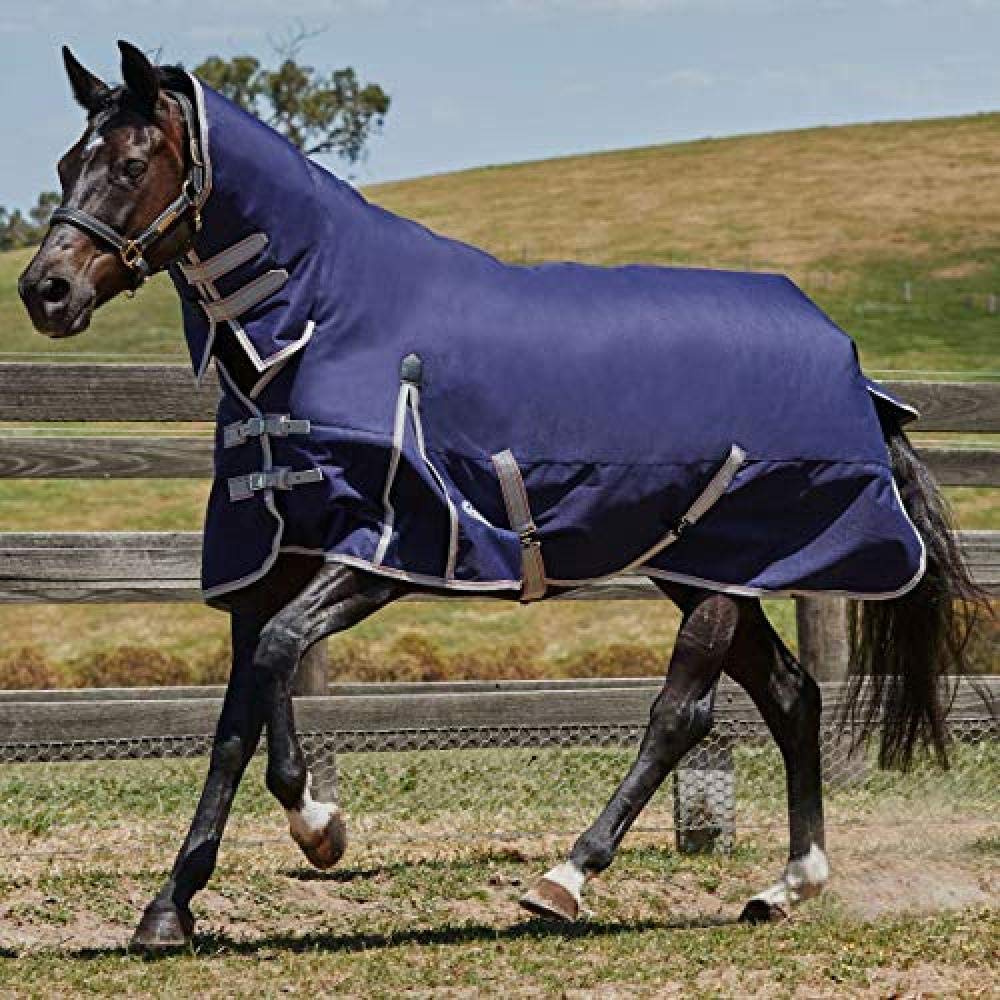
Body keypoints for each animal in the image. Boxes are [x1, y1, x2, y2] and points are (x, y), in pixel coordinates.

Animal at [18, 41, 983, 951]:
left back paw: (567, 878)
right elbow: (244, 704)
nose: (45, 291)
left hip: (722, 568)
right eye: (67, 162)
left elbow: (278, 661)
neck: (321, 324)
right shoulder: (274, 554)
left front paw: (317, 828)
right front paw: (174, 905)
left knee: (685, 712)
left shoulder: (394, 548)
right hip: (703, 566)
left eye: (131, 165)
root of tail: (848, 361)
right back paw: (787, 886)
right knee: (791, 694)